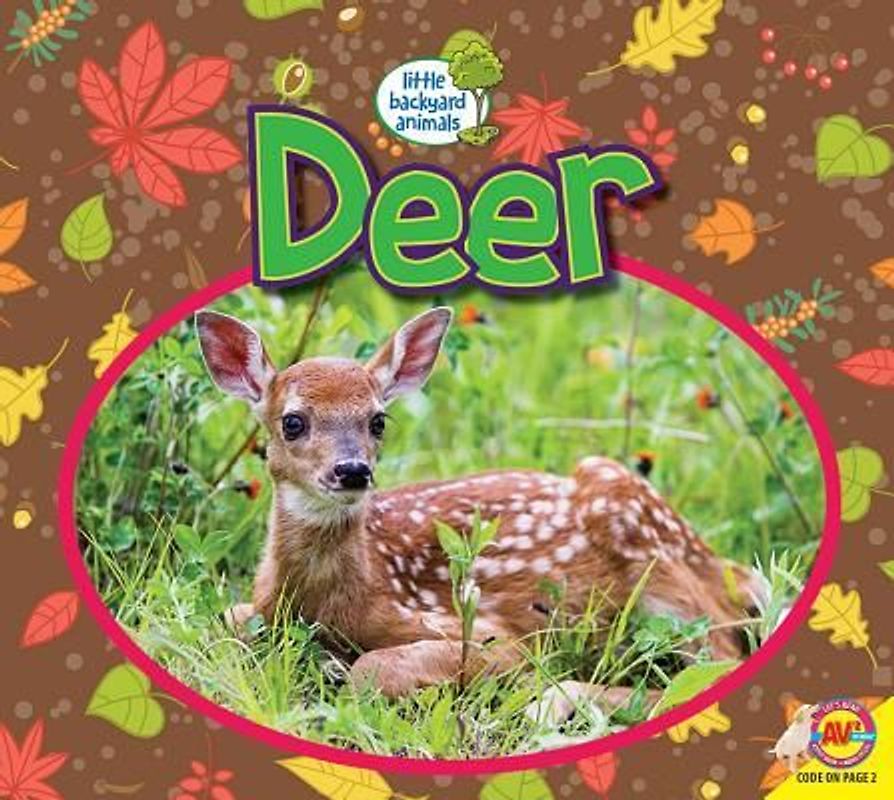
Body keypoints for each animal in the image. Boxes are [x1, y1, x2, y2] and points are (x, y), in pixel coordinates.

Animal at [196, 306, 767, 701]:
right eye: (292, 422)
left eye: (378, 420)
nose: (352, 470)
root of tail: (724, 569)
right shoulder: (255, 608)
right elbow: (223, 624)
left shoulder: (489, 633)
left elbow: (371, 670)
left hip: (650, 548)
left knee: (716, 660)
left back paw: (557, 701)